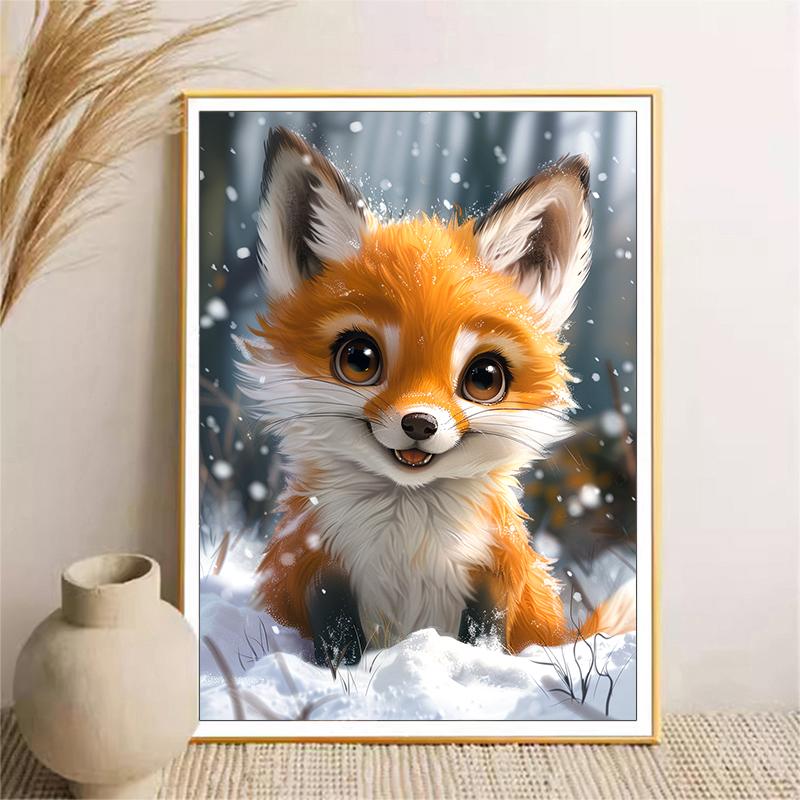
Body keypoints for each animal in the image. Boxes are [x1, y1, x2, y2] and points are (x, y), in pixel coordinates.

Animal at [240, 126, 635, 667]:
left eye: (484, 378)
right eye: (359, 359)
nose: (419, 423)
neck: (408, 537)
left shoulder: (497, 574)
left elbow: (483, 637)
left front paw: (476, 668)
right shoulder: (317, 565)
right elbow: (338, 640)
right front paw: (340, 674)